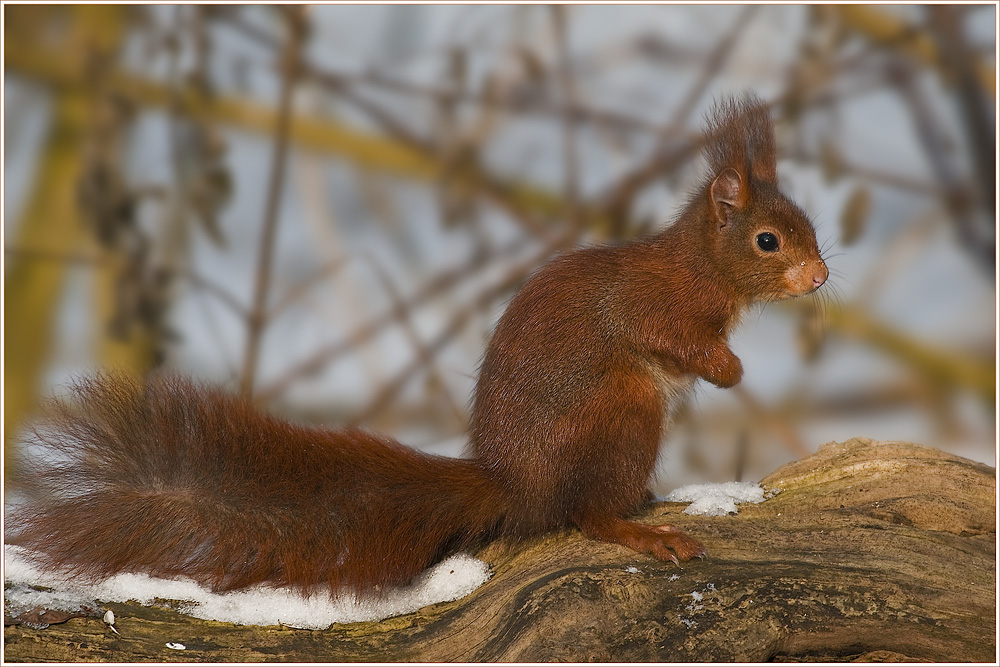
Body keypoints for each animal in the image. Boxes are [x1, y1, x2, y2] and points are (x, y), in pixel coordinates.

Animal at [9, 92, 828, 596]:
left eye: (810, 226)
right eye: (768, 240)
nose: (820, 276)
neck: (703, 268)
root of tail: (517, 485)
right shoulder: (654, 304)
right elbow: (661, 333)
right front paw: (728, 367)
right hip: (622, 411)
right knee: (584, 514)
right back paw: (639, 527)